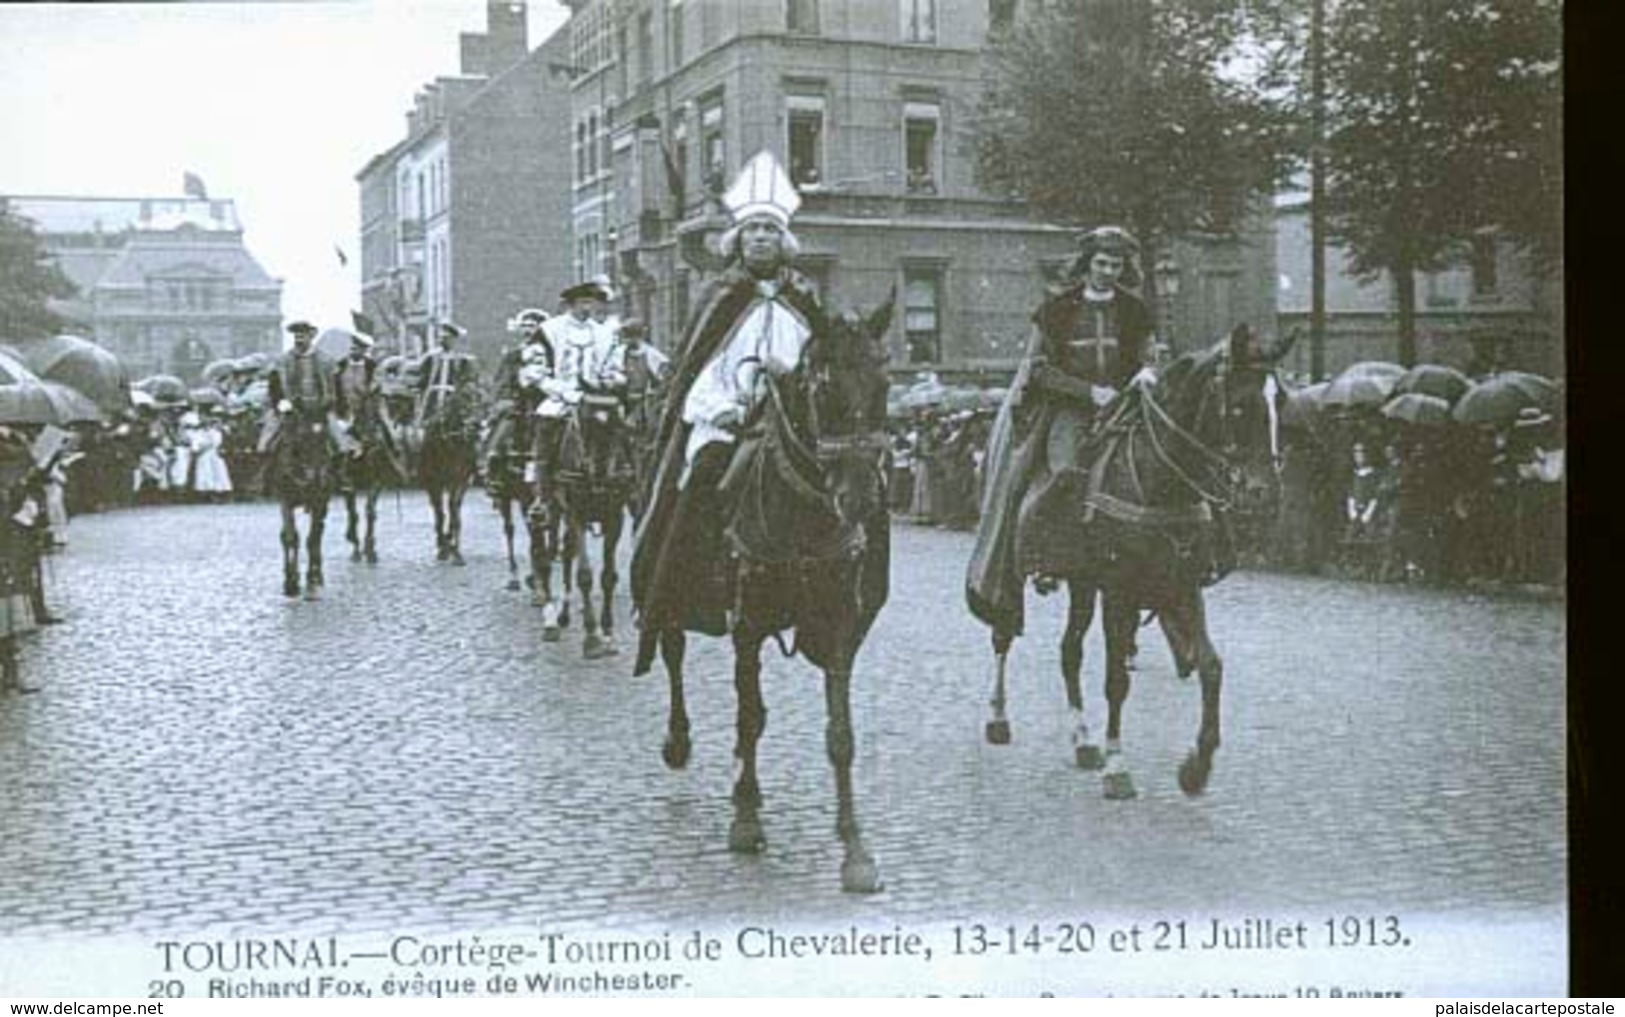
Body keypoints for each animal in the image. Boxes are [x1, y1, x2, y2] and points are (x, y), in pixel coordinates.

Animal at [264, 401, 334, 594]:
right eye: (302, 437)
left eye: (325, 437)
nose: (317, 477)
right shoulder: (285, 501)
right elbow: (291, 537)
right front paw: (291, 580)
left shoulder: (319, 502)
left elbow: (312, 539)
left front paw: (312, 576)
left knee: (319, 533)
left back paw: (318, 571)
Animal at [416, 383, 477, 565]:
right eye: (461, 404)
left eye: (477, 403)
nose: (475, 426)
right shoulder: (433, 482)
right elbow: (440, 513)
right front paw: (443, 548)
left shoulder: (459, 480)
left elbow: (453, 511)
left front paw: (455, 551)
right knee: (439, 510)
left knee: (454, 507)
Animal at [536, 381, 630, 656]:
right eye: (587, 420)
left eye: (616, 423)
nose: (597, 476)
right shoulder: (575, 514)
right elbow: (585, 575)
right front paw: (592, 636)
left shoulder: (615, 518)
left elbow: (608, 577)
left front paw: (607, 632)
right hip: (555, 510)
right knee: (551, 555)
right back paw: (554, 618)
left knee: (566, 553)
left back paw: (564, 614)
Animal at [646, 297, 897, 890]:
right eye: (824, 389)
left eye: (884, 384)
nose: (859, 499)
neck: (802, 516)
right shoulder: (747, 623)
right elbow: (750, 714)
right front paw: (744, 816)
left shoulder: (837, 625)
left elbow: (839, 734)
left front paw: (855, 848)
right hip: (675, 596)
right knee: (673, 651)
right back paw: (679, 740)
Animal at [975, 324, 1293, 799]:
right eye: (1239, 405)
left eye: (1281, 404)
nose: (1266, 495)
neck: (1158, 482)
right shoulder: (1119, 590)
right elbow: (1116, 681)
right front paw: (1118, 767)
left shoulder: (1182, 583)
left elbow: (1210, 666)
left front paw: (1197, 765)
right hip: (1015, 573)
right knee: (1003, 634)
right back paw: (998, 717)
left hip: (1084, 585)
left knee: (1069, 651)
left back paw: (1082, 740)